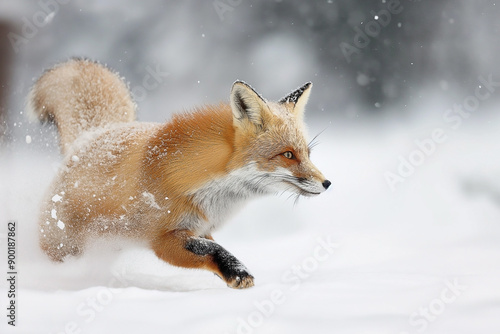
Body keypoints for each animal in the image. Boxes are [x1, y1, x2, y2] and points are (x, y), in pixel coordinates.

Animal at [29, 58, 330, 288]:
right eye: (288, 155)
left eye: (307, 153)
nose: (327, 183)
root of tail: (91, 135)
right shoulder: (163, 238)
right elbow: (211, 250)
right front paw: (238, 273)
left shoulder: (199, 228)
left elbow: (210, 248)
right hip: (65, 248)